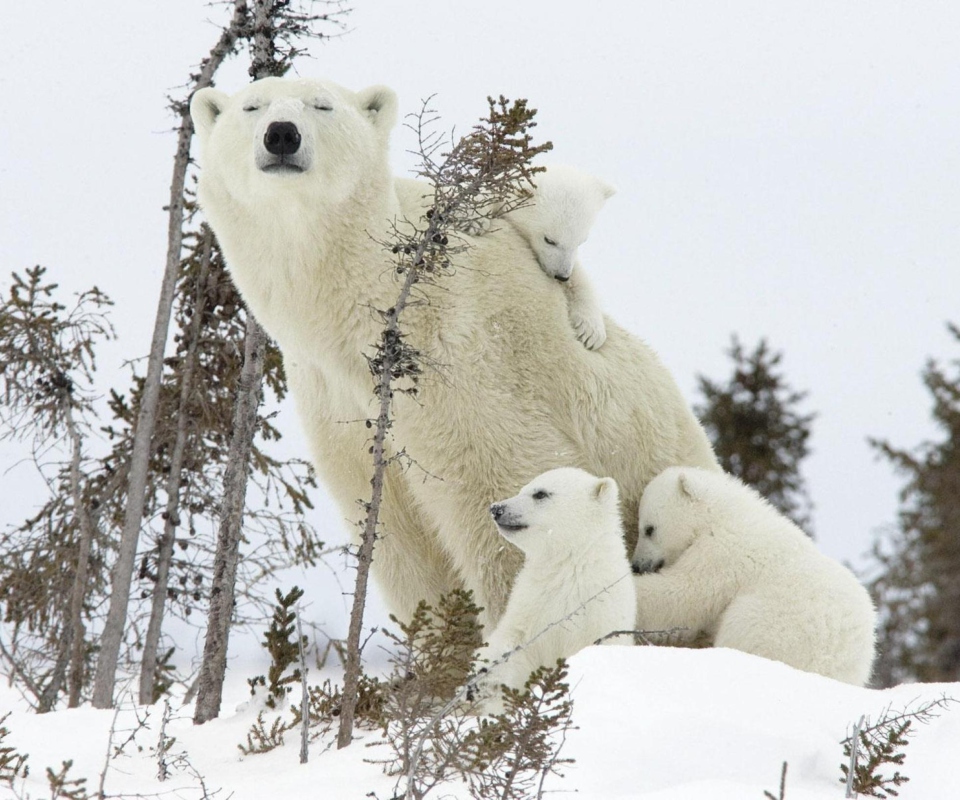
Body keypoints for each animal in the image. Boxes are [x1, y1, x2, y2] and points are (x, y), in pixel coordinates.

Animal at [189, 76, 720, 624]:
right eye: (252, 107)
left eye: (322, 105)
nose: (281, 135)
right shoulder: (336, 402)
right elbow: (401, 542)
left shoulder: (464, 365)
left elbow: (504, 500)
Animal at [480, 468, 636, 692]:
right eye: (522, 489)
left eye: (540, 494)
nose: (496, 508)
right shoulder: (530, 605)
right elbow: (512, 643)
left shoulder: (601, 615)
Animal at [632, 466, 876, 684]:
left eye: (649, 529)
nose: (637, 565)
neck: (724, 514)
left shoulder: (723, 552)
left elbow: (684, 595)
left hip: (774, 625)